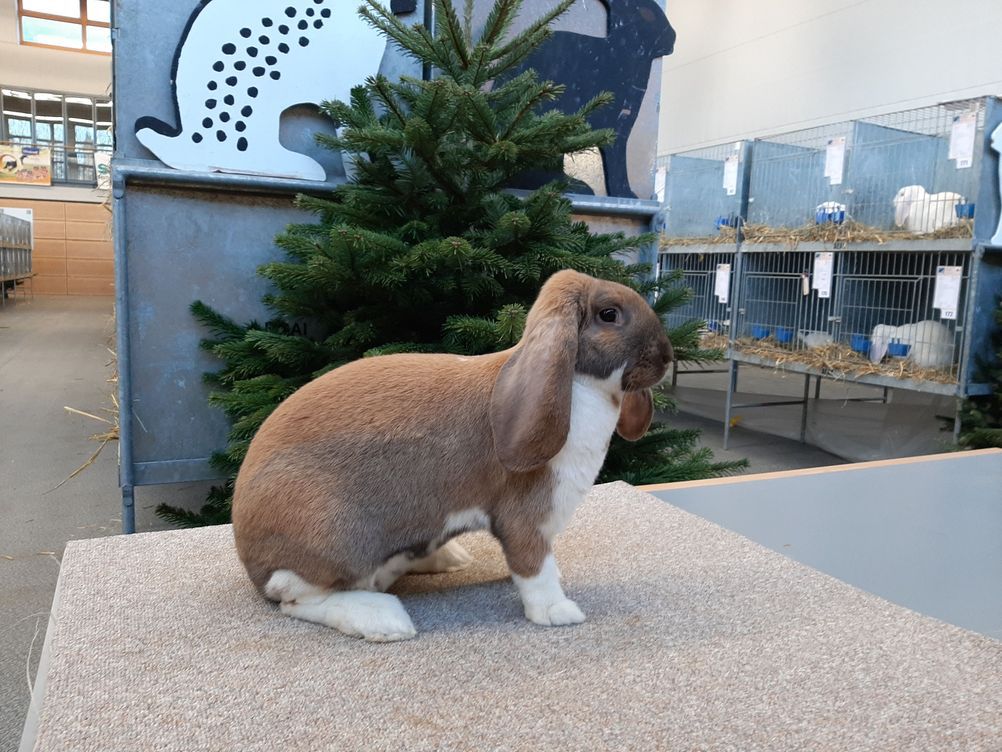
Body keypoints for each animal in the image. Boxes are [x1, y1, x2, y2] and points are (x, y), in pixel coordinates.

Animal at [232, 268, 673, 641]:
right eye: (609, 314)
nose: (668, 357)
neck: (580, 386)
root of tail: (250, 561)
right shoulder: (525, 516)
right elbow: (535, 568)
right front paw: (558, 612)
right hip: (335, 536)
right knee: (296, 597)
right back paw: (384, 620)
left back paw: (446, 558)